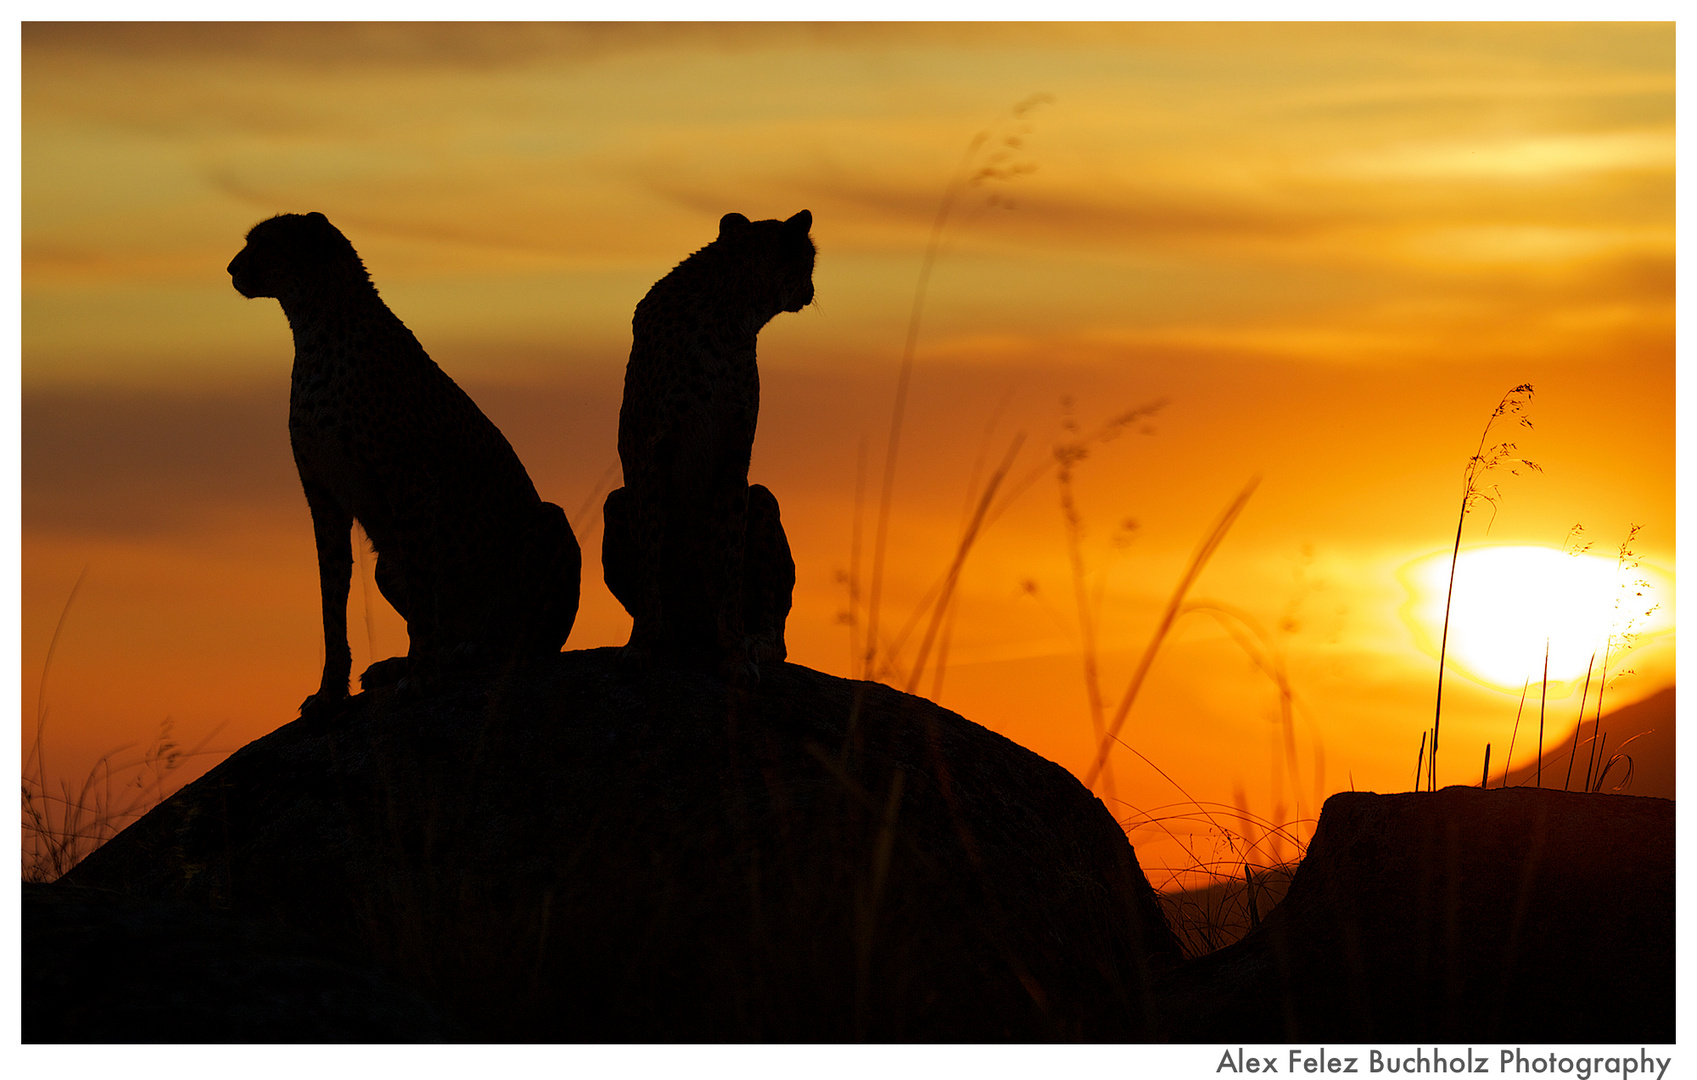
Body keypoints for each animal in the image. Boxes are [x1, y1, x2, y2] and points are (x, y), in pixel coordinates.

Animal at [229, 210, 580, 716]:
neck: (314, 326)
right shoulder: (324, 497)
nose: (232, 267)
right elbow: (332, 602)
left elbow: (419, 587)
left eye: (266, 244)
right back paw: (416, 660)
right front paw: (330, 692)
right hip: (384, 569)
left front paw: (420, 677)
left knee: (523, 641)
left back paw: (470, 652)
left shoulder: (410, 484)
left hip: (546, 524)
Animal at [604, 208, 814, 682]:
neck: (729, 316)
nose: (812, 290)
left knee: (778, 632)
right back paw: (671, 633)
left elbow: (730, 561)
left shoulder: (735, 459)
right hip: (616, 502)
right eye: (809, 261)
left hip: (762, 497)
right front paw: (641, 644)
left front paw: (735, 652)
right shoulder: (653, 454)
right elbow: (650, 562)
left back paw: (757, 642)